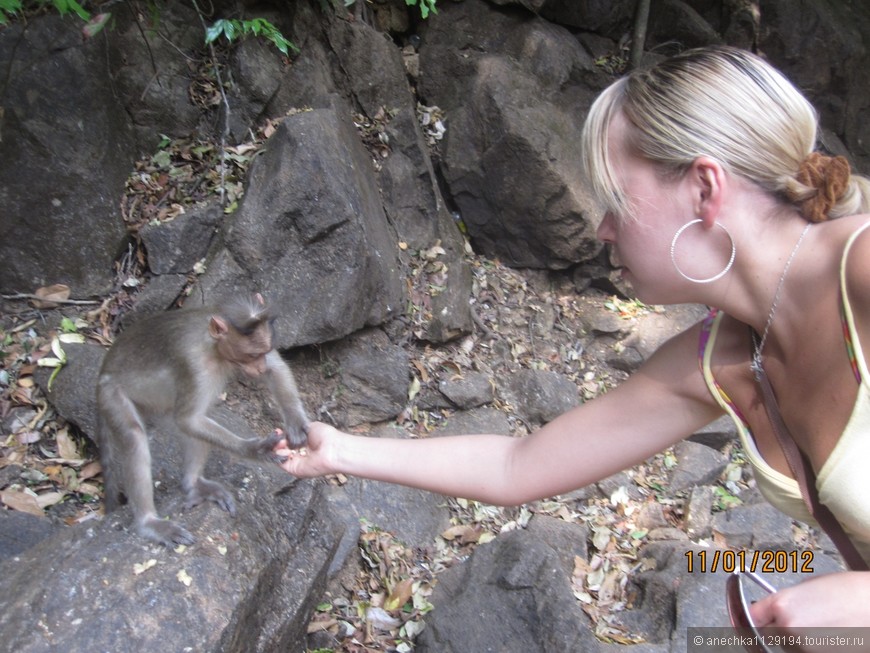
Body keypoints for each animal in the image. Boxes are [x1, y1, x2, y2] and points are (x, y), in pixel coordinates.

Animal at [96, 294, 310, 544]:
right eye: (252, 355)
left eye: (264, 351)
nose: (259, 367)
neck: (213, 348)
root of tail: (102, 373)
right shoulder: (192, 363)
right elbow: (189, 420)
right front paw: (254, 450)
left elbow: (275, 369)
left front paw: (296, 424)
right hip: (112, 395)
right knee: (135, 434)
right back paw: (149, 523)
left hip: (158, 408)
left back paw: (193, 484)